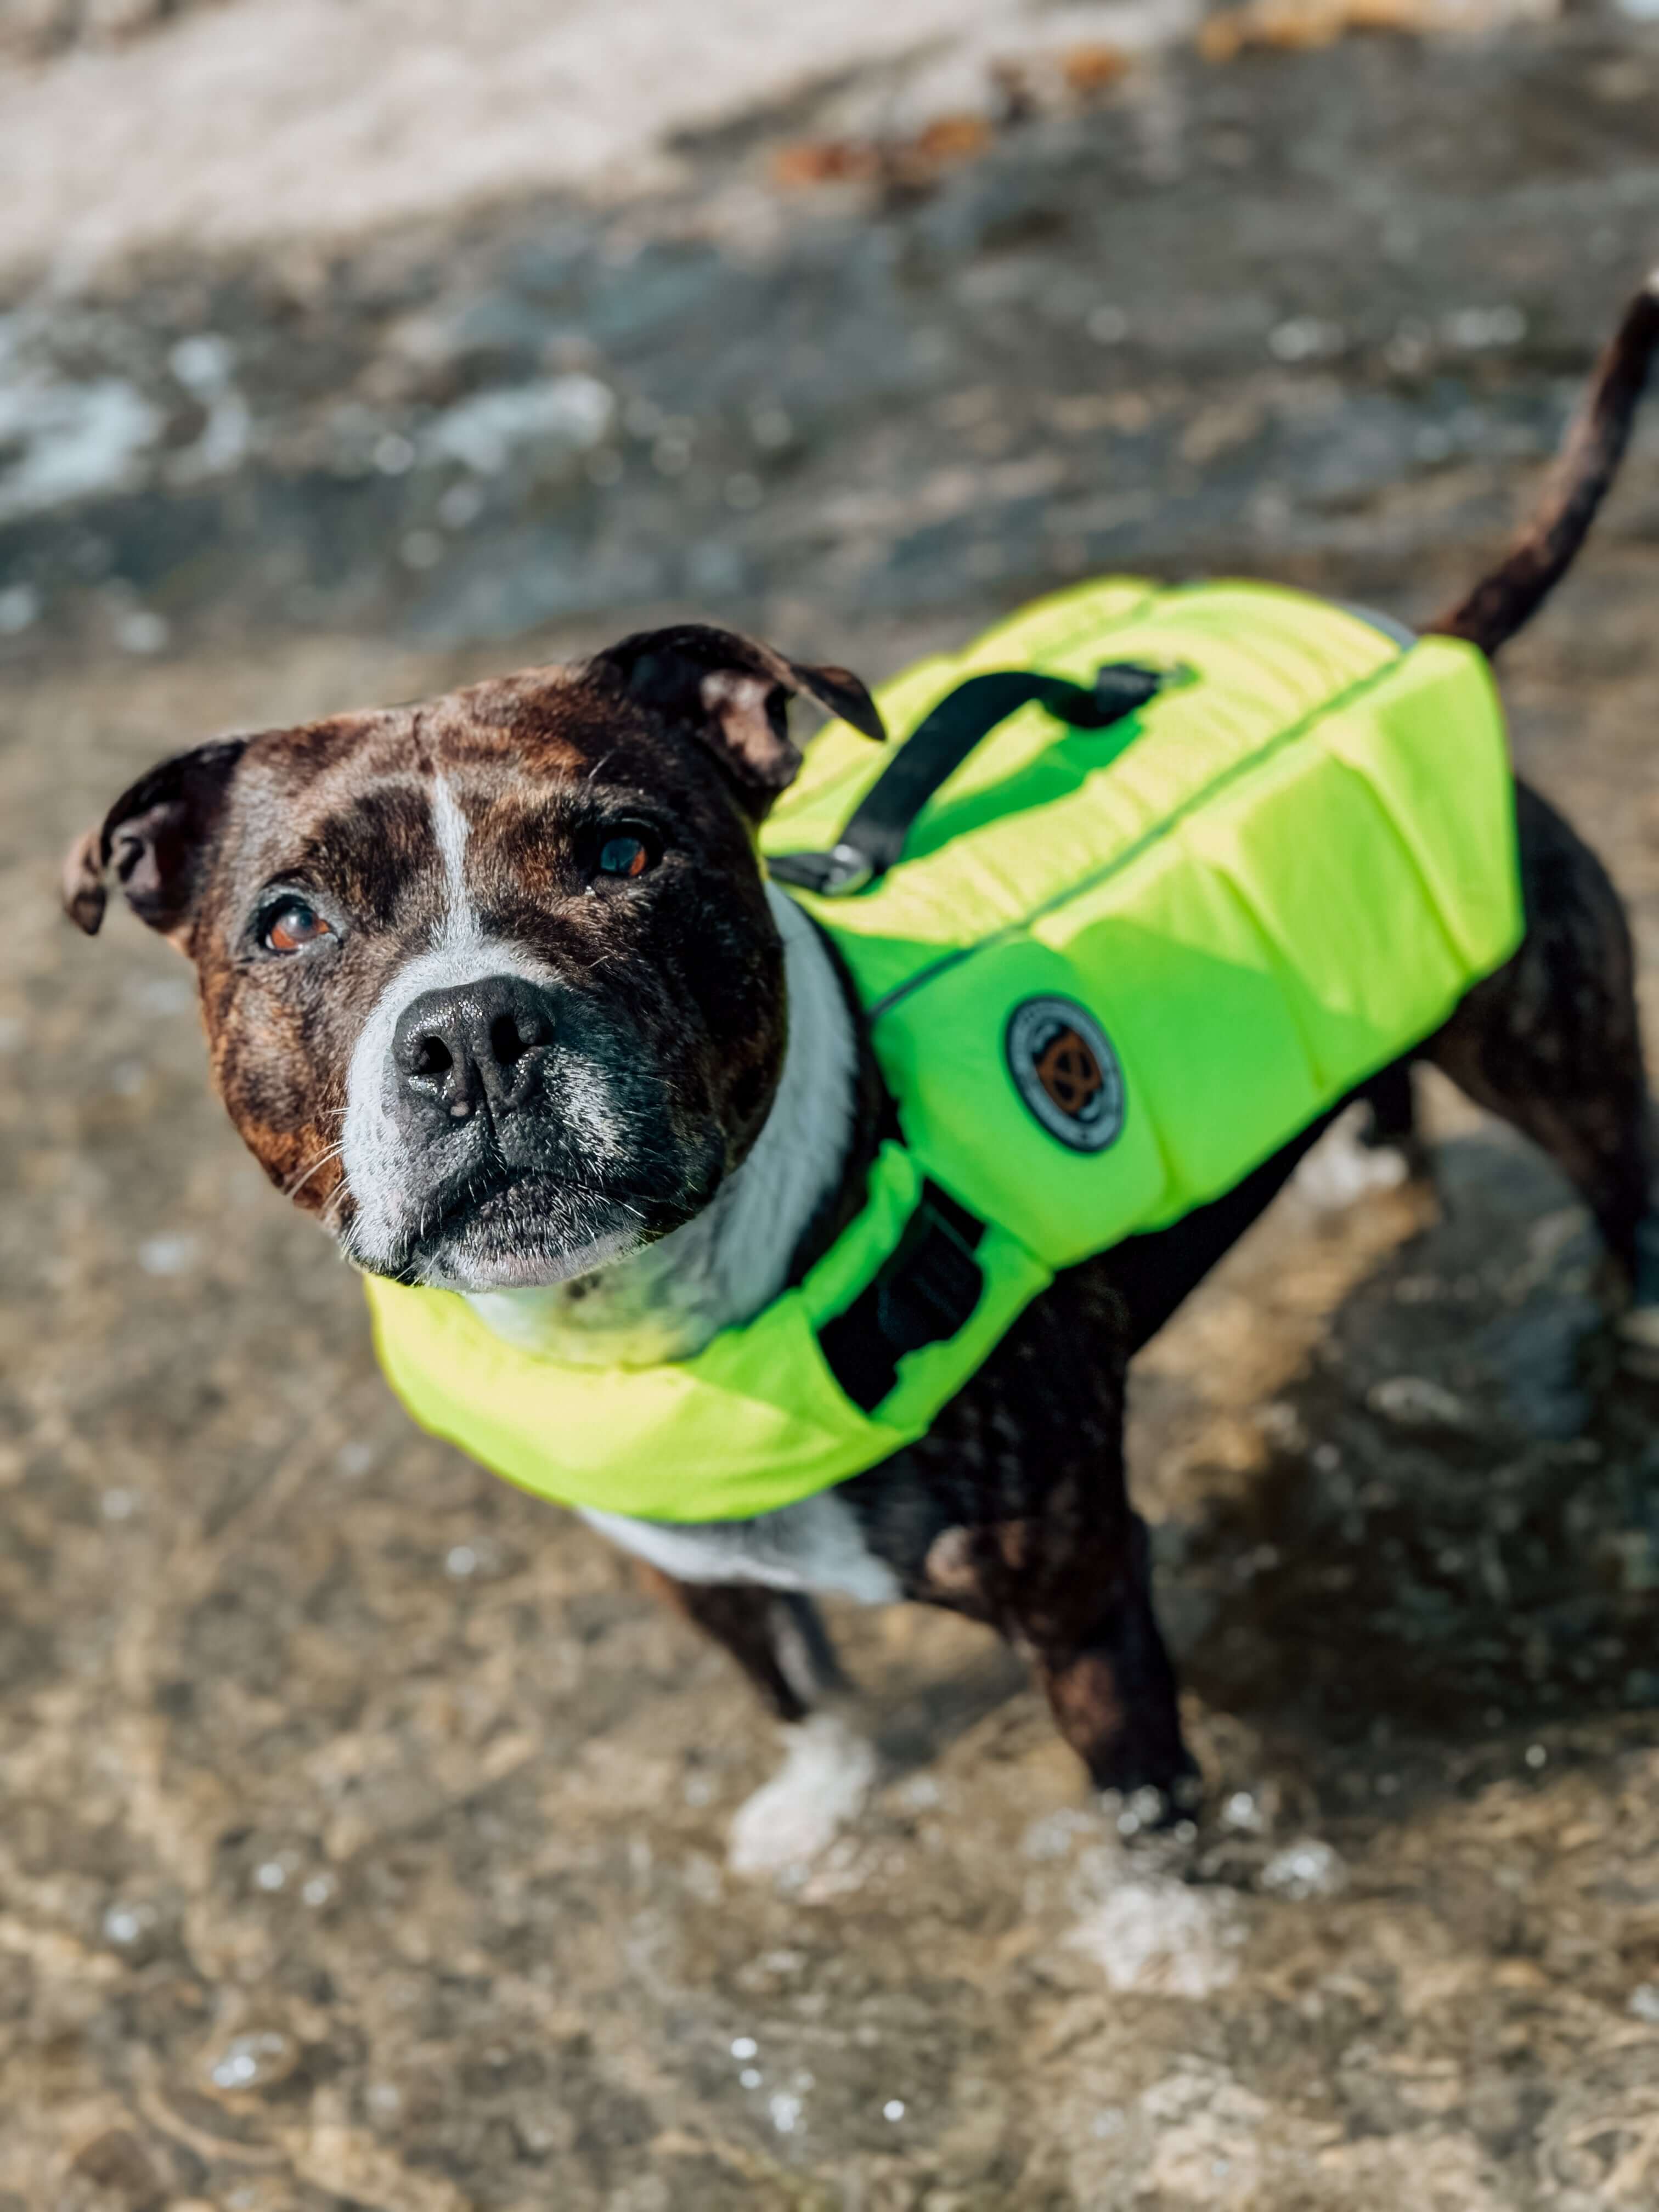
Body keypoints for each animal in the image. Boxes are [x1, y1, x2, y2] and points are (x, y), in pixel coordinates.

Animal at [65, 267, 1659, 1840]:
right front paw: (818, 1823)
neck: (672, 1325)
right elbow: (806, 1703)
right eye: (290, 922)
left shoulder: (1082, 1596)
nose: (471, 1032)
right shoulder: (694, 1576)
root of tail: (1422, 642)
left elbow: (1146, 1817)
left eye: (626, 851)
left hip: (1558, 1049)